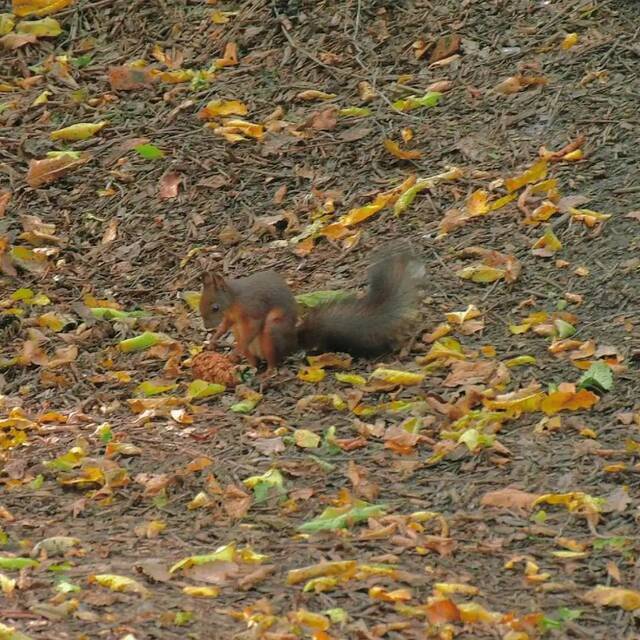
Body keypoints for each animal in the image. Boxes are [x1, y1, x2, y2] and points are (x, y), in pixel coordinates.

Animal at [200, 248, 420, 372]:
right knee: (255, 360)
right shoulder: (231, 318)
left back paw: (267, 372)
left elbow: (253, 327)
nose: (206, 326)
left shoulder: (253, 307)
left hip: (272, 333)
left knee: (273, 359)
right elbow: (225, 325)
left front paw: (234, 350)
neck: (234, 301)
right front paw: (214, 339)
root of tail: (293, 344)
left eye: (215, 307)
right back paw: (247, 367)